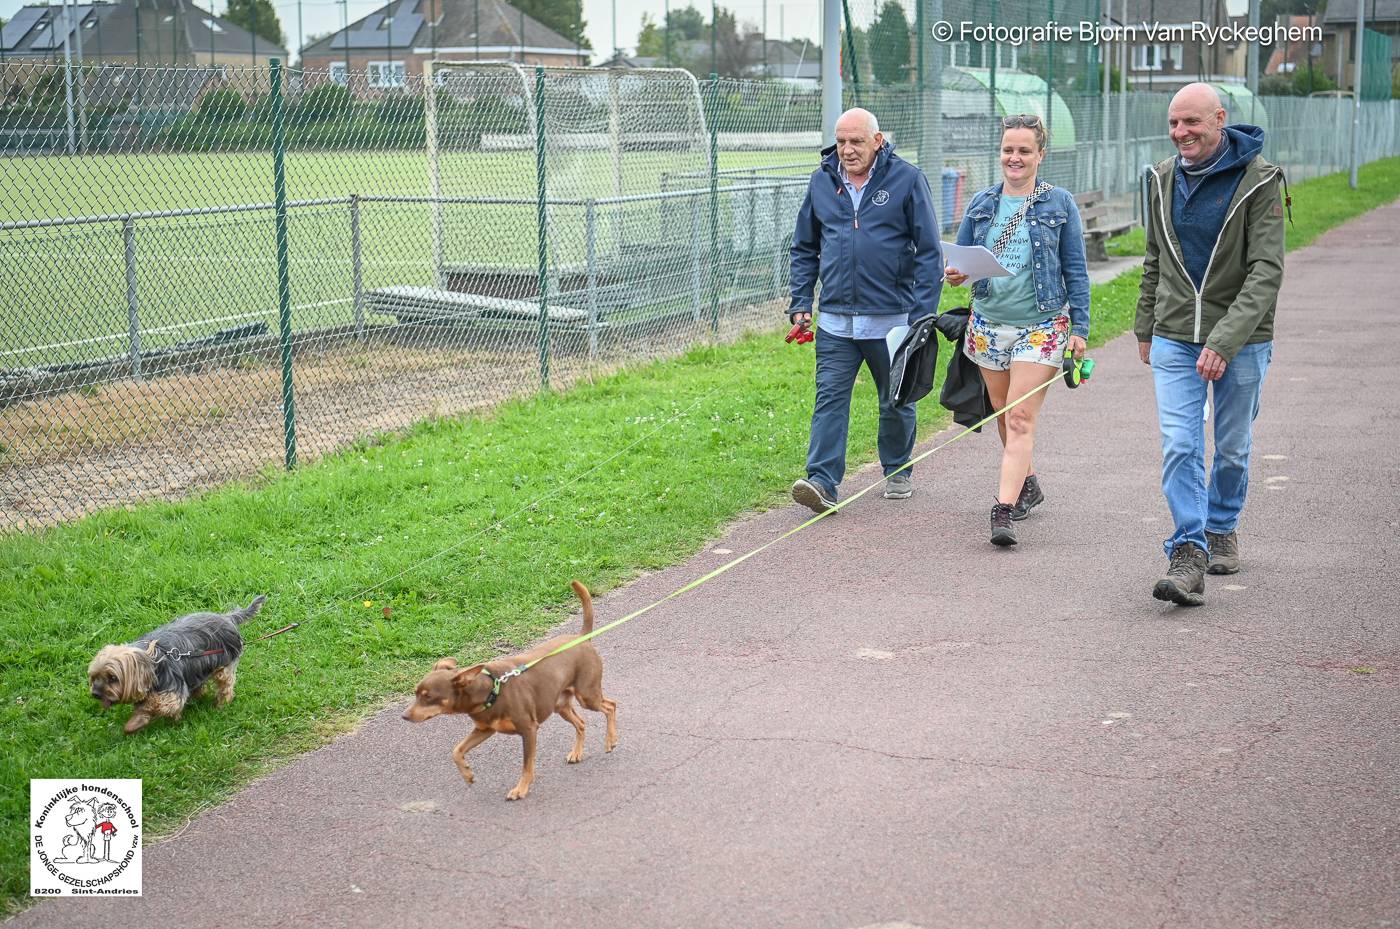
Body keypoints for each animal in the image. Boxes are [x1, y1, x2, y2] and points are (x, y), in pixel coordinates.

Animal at [406, 582, 624, 800]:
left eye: (428, 697)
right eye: (415, 693)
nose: (404, 716)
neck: (491, 690)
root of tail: (581, 638)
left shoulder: (529, 730)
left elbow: (527, 765)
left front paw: (521, 789)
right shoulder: (485, 729)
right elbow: (456, 750)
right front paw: (467, 774)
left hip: (587, 695)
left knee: (611, 705)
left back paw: (610, 740)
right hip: (560, 705)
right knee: (581, 723)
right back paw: (577, 753)